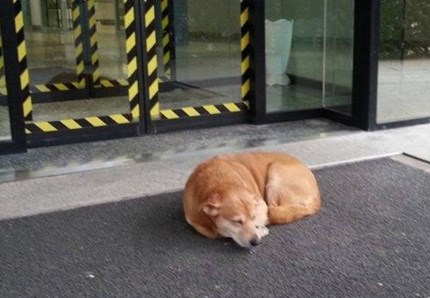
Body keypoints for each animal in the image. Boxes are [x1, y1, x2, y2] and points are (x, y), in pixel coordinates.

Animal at [183, 151, 320, 247]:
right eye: (237, 221)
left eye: (253, 217)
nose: (256, 242)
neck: (219, 182)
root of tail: (317, 196)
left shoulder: (261, 205)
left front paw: (260, 229)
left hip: (275, 173)